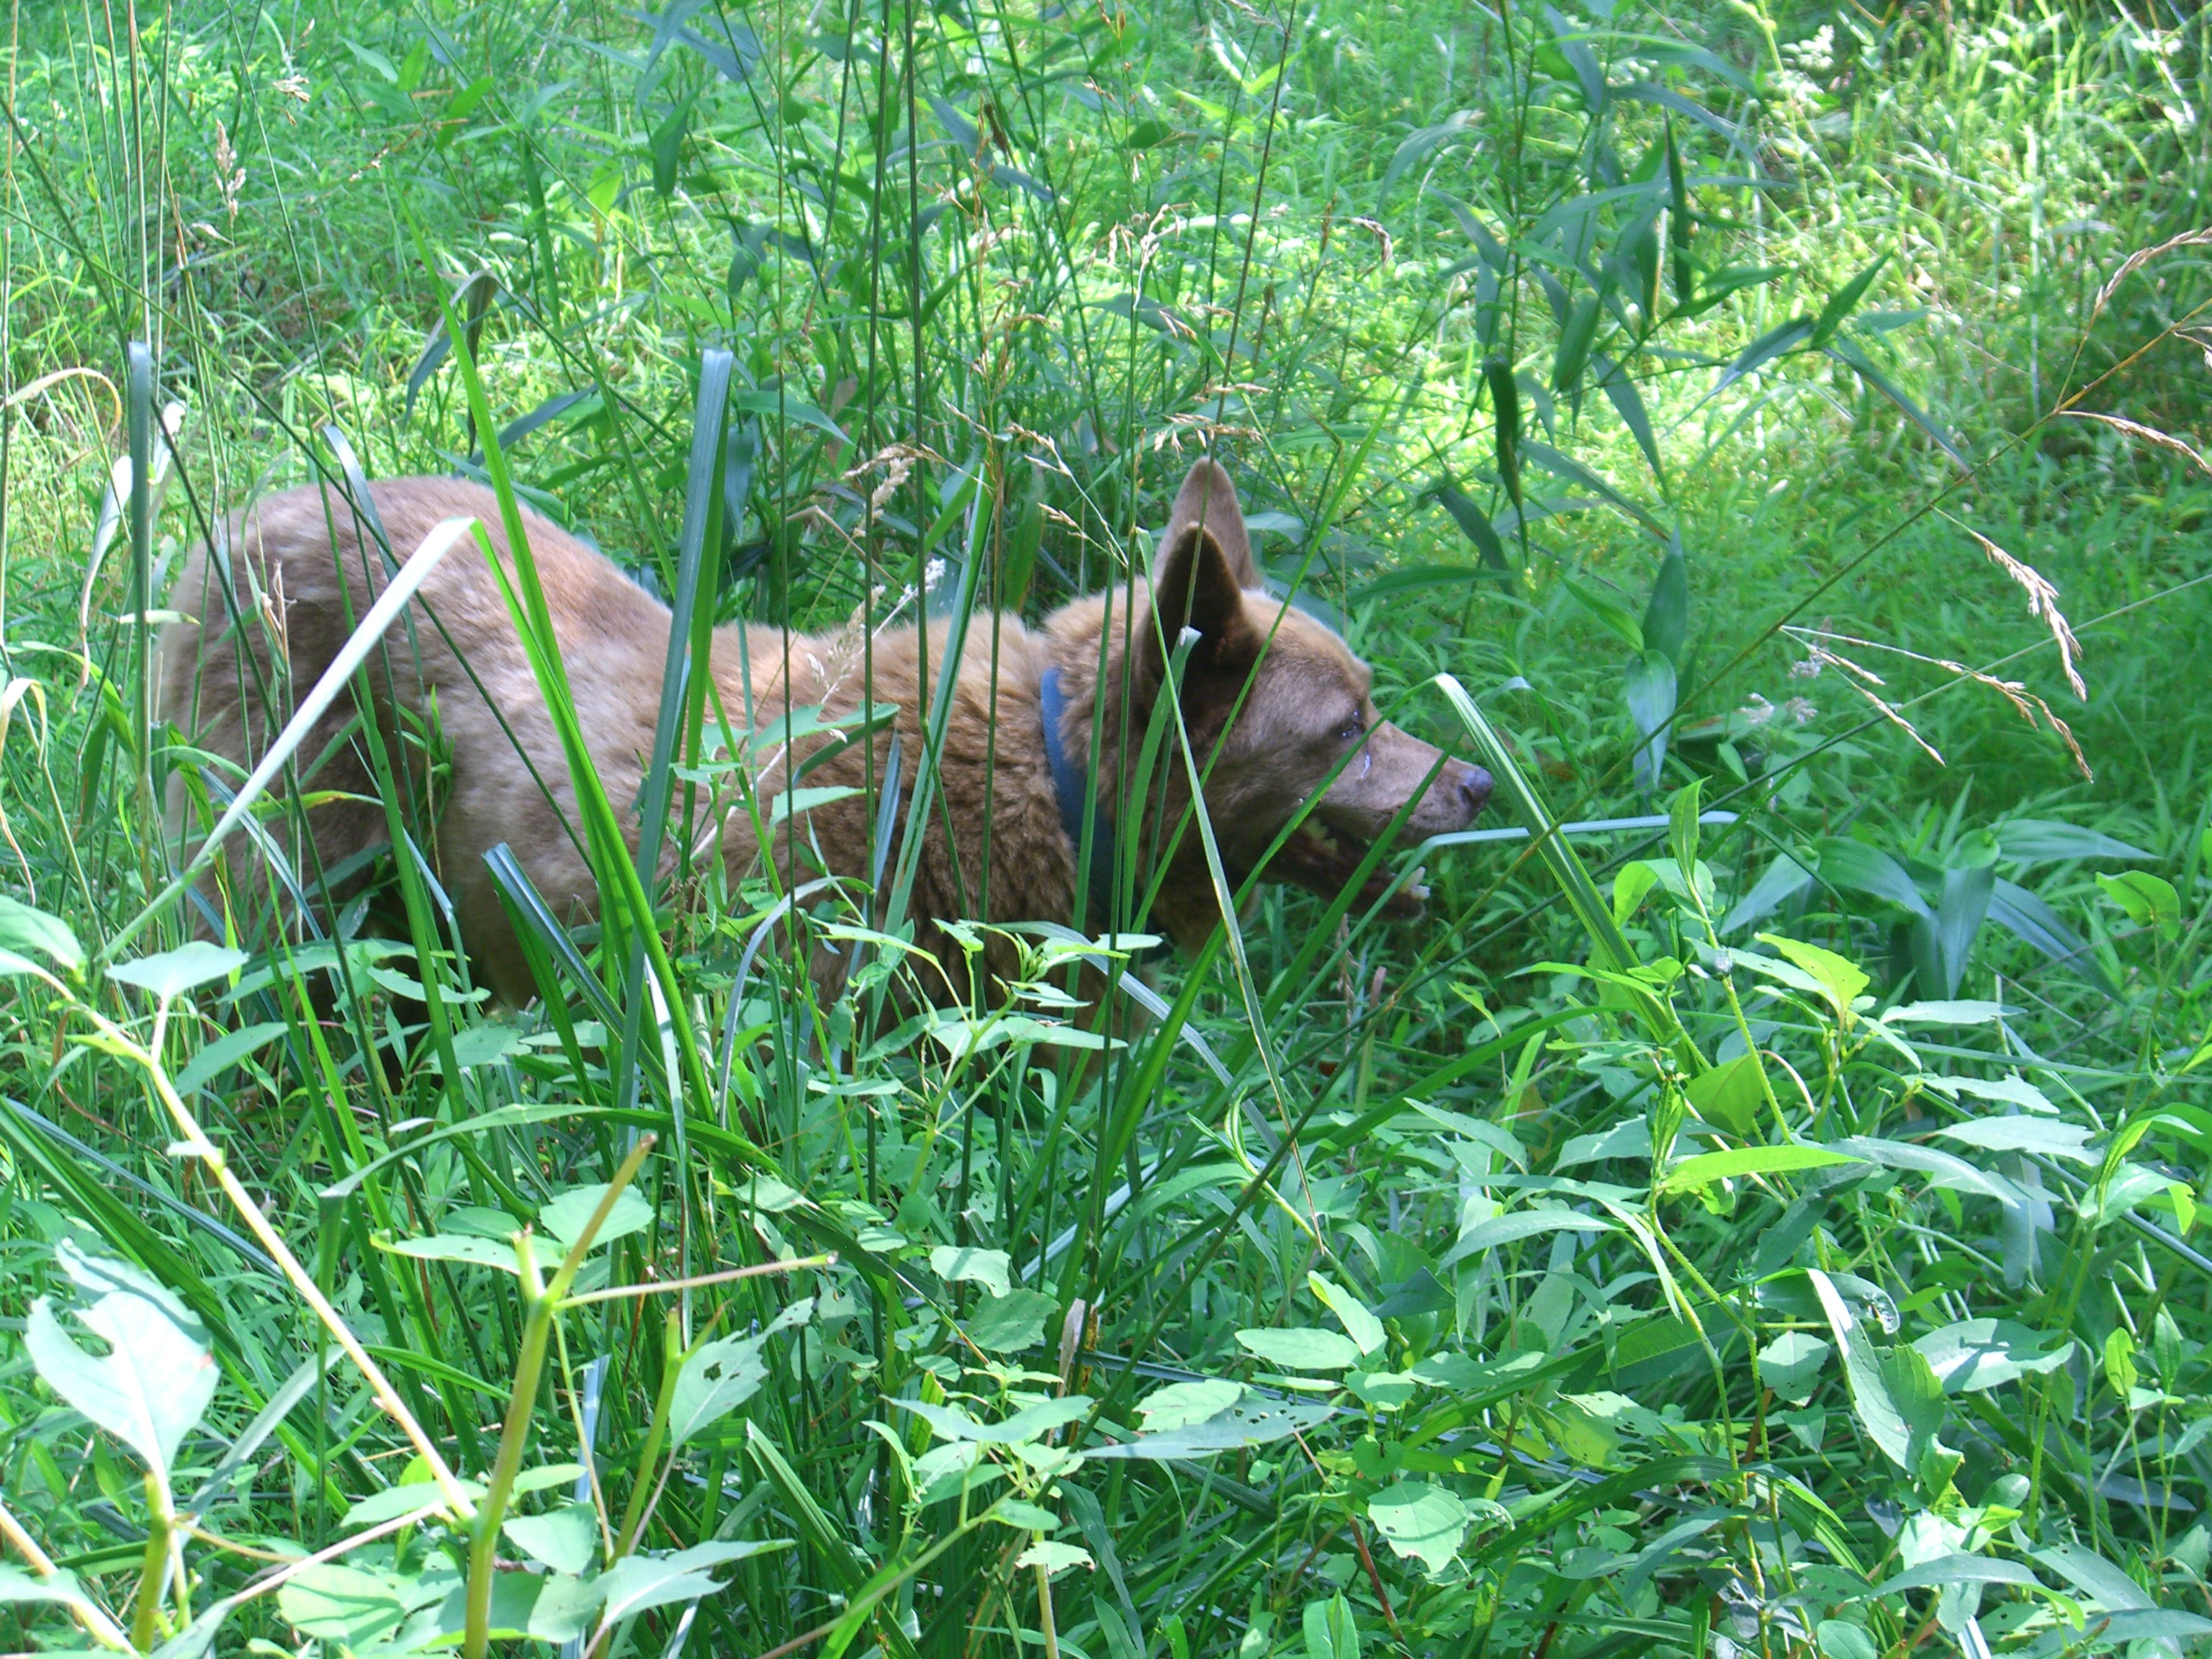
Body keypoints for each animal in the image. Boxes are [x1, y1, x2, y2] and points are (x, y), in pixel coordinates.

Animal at [158, 458, 1491, 1006]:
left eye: (1375, 700)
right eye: (1345, 728)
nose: (1481, 782)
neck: (1032, 779)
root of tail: (251, 512)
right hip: (275, 864)